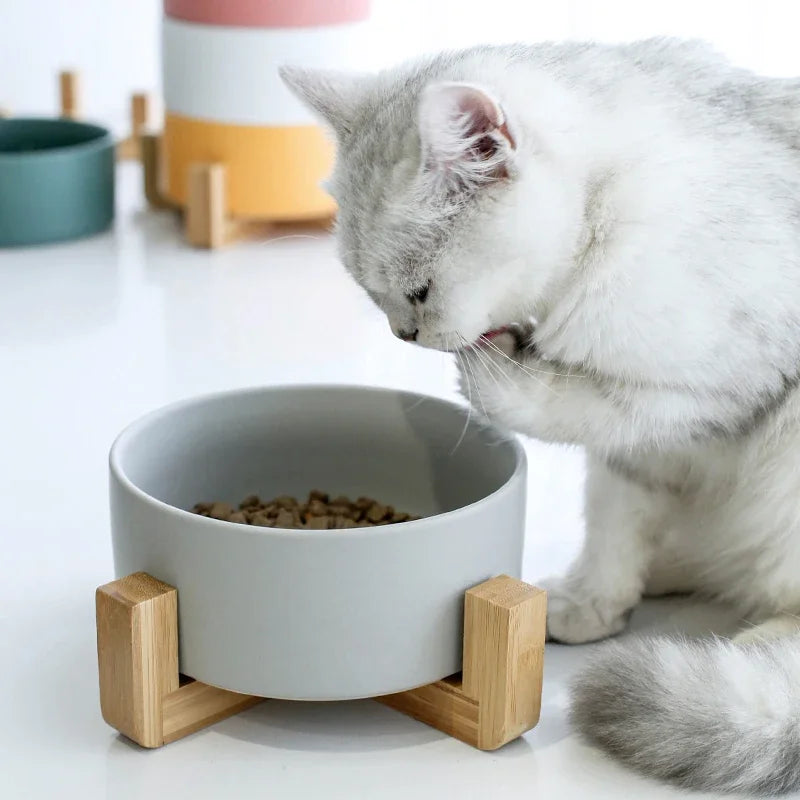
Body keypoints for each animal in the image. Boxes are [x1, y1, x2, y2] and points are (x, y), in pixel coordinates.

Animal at [282, 39, 800, 792]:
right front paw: (593, 604)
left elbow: (556, 405)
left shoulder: (703, 392)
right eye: (371, 294)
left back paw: (756, 638)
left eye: (419, 291)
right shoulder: (639, 448)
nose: (403, 336)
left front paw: (492, 371)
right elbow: (616, 522)